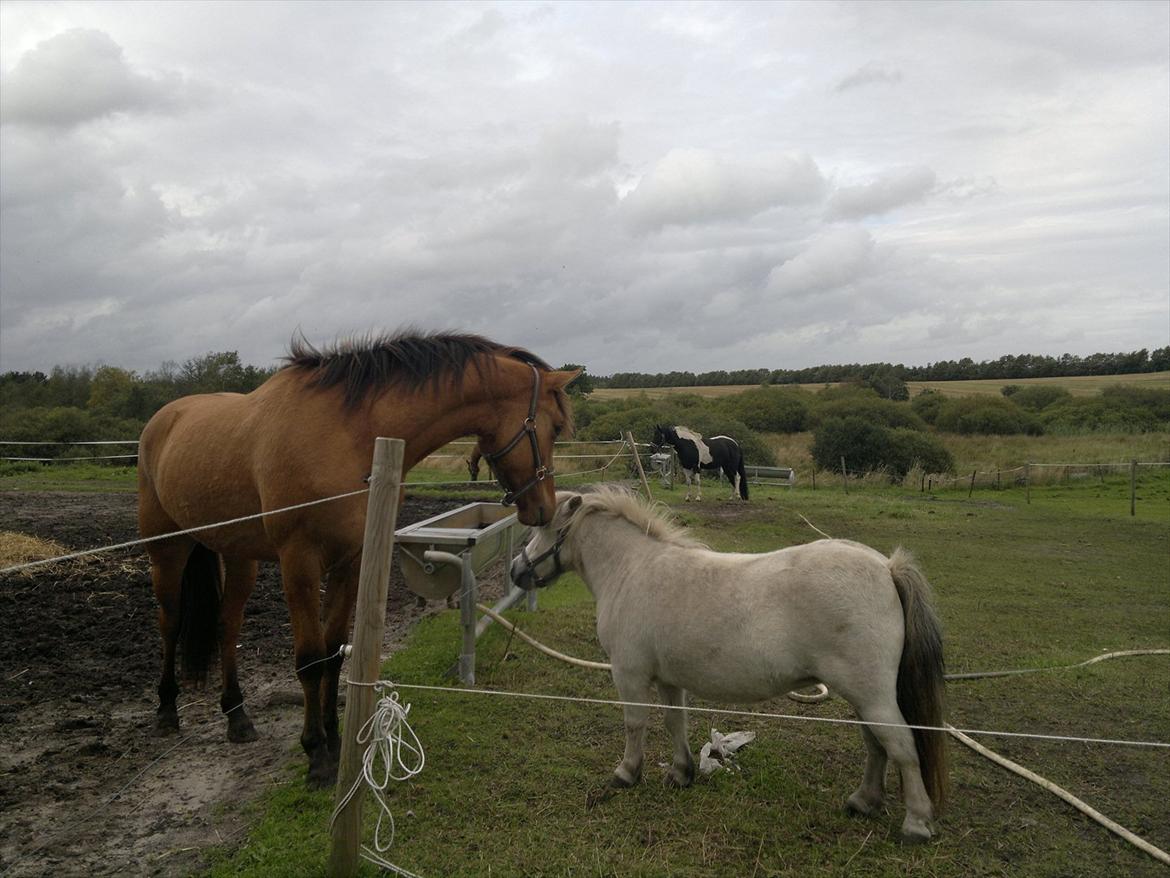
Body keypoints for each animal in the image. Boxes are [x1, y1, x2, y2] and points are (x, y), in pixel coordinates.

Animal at [137, 330, 578, 788]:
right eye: (555, 427)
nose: (545, 507)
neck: (349, 435)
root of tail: (163, 419)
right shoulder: (299, 563)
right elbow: (310, 659)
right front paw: (316, 754)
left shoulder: (350, 562)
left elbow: (333, 652)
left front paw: (334, 740)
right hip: (167, 551)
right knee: (170, 623)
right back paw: (167, 710)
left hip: (239, 557)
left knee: (227, 626)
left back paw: (237, 715)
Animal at [510, 488, 948, 843]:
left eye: (544, 527)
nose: (516, 570)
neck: (631, 569)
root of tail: (886, 567)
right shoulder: (668, 678)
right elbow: (675, 722)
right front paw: (681, 773)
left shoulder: (629, 674)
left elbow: (635, 724)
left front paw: (626, 773)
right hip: (862, 696)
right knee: (877, 746)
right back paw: (863, 801)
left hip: (872, 696)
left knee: (901, 746)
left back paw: (915, 824)